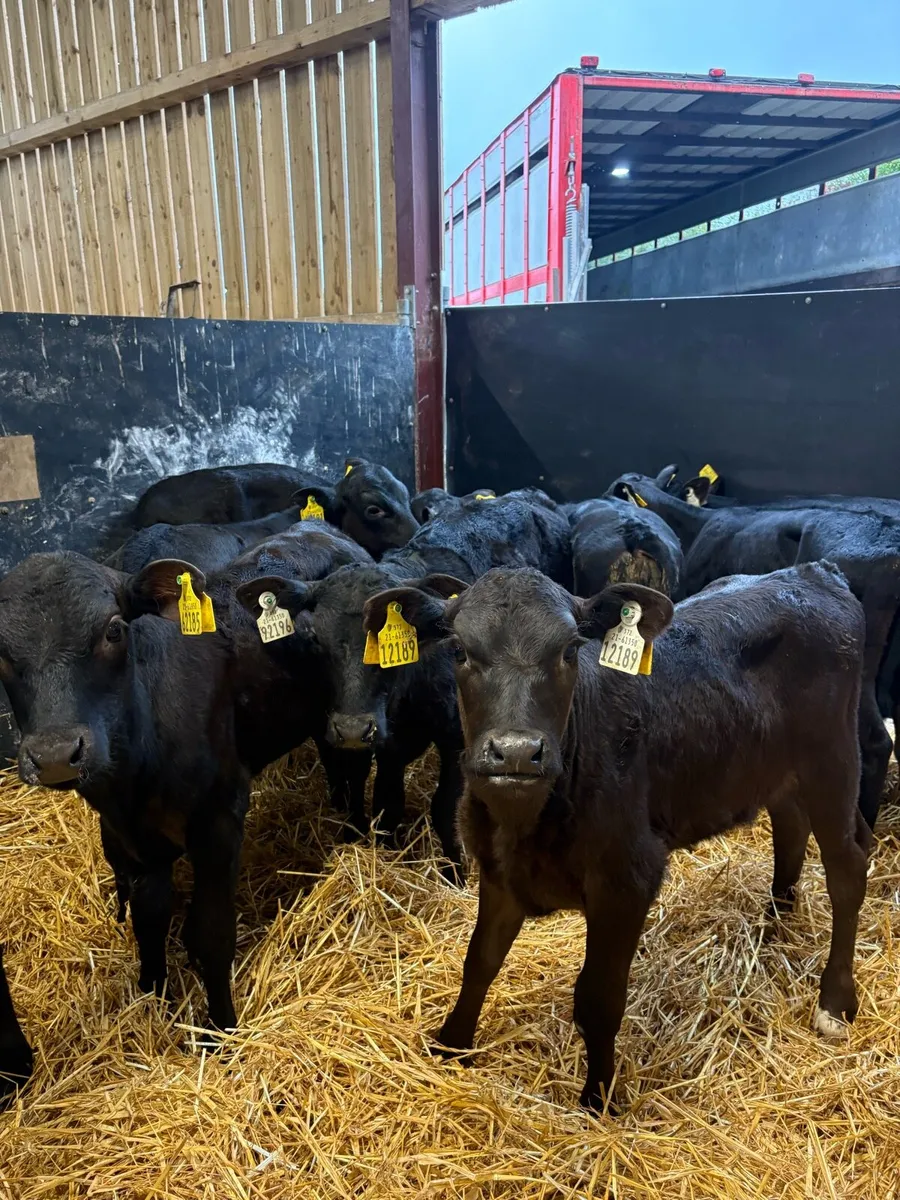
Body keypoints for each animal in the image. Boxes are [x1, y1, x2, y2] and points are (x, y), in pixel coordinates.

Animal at [0, 521, 369, 1040]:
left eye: (113, 630)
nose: (54, 755)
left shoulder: (219, 820)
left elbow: (210, 935)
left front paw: (221, 1031)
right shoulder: (129, 839)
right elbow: (149, 917)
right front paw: (152, 995)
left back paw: (354, 832)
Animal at [362, 564, 870, 1113]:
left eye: (568, 650)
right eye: (458, 650)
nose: (516, 751)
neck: (523, 826)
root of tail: (811, 572)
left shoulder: (627, 879)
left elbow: (598, 999)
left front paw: (597, 1097)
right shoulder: (498, 872)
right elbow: (479, 961)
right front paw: (450, 1045)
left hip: (833, 760)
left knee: (848, 868)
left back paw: (835, 1002)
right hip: (774, 768)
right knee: (789, 825)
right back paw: (775, 923)